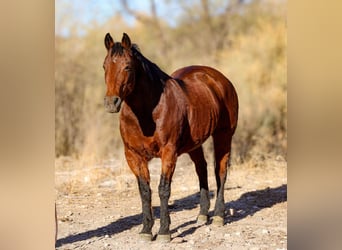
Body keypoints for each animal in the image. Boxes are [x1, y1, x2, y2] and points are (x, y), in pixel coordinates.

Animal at [103, 32, 239, 241]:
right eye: (104, 66)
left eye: (127, 66)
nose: (111, 103)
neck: (148, 112)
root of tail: (220, 79)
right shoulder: (133, 155)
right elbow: (145, 191)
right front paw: (146, 230)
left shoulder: (169, 152)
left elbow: (163, 189)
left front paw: (164, 231)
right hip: (194, 144)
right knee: (202, 169)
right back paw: (202, 214)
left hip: (223, 136)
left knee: (220, 172)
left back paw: (218, 216)